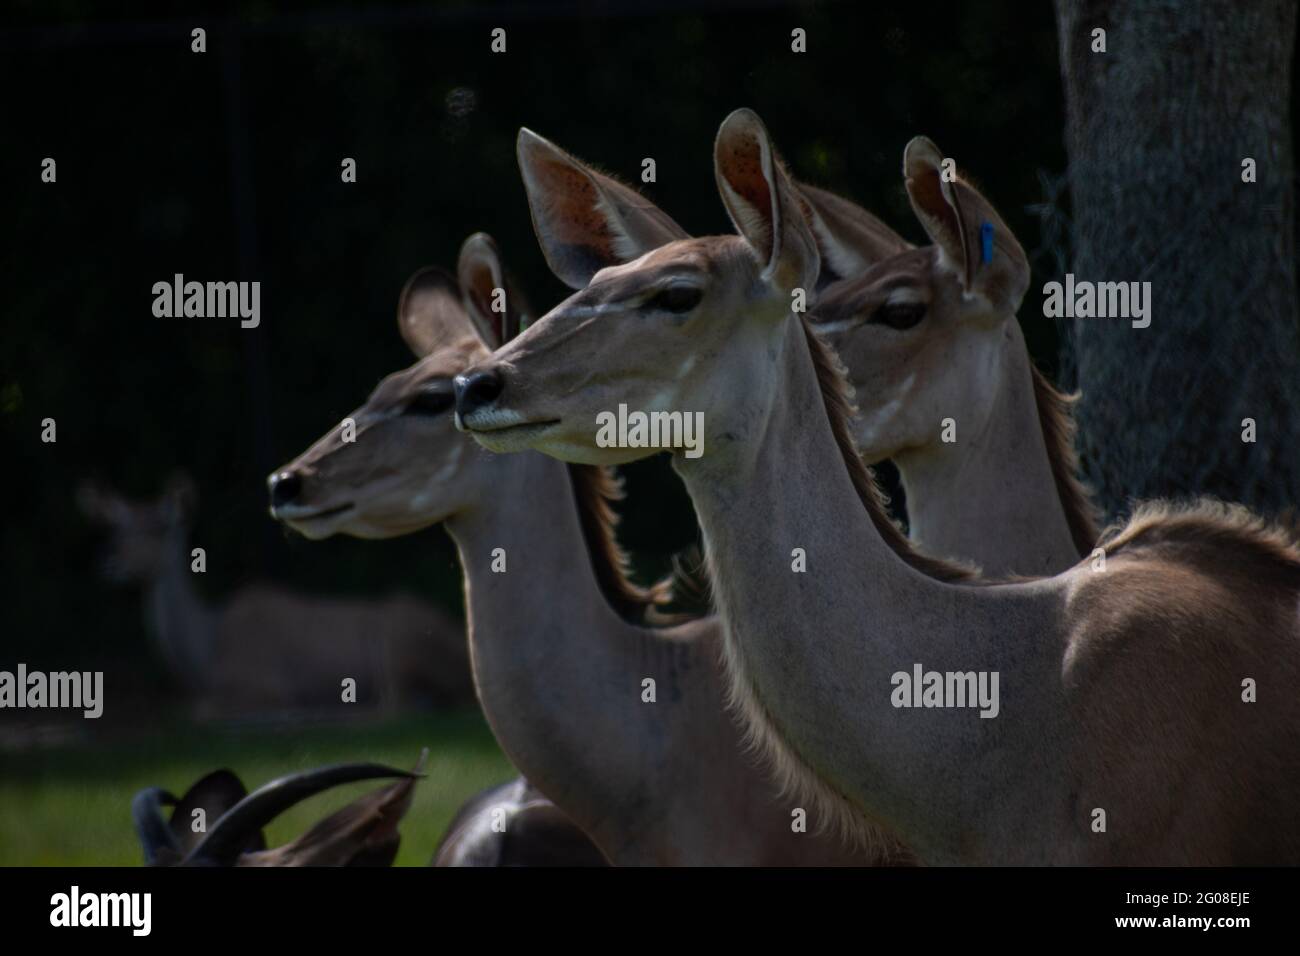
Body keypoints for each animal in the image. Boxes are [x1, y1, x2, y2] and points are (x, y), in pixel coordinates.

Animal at [77, 476, 473, 712]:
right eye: (117, 527)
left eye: (158, 527)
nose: (110, 561)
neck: (204, 651)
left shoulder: (263, 682)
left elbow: (199, 709)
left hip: (398, 641)